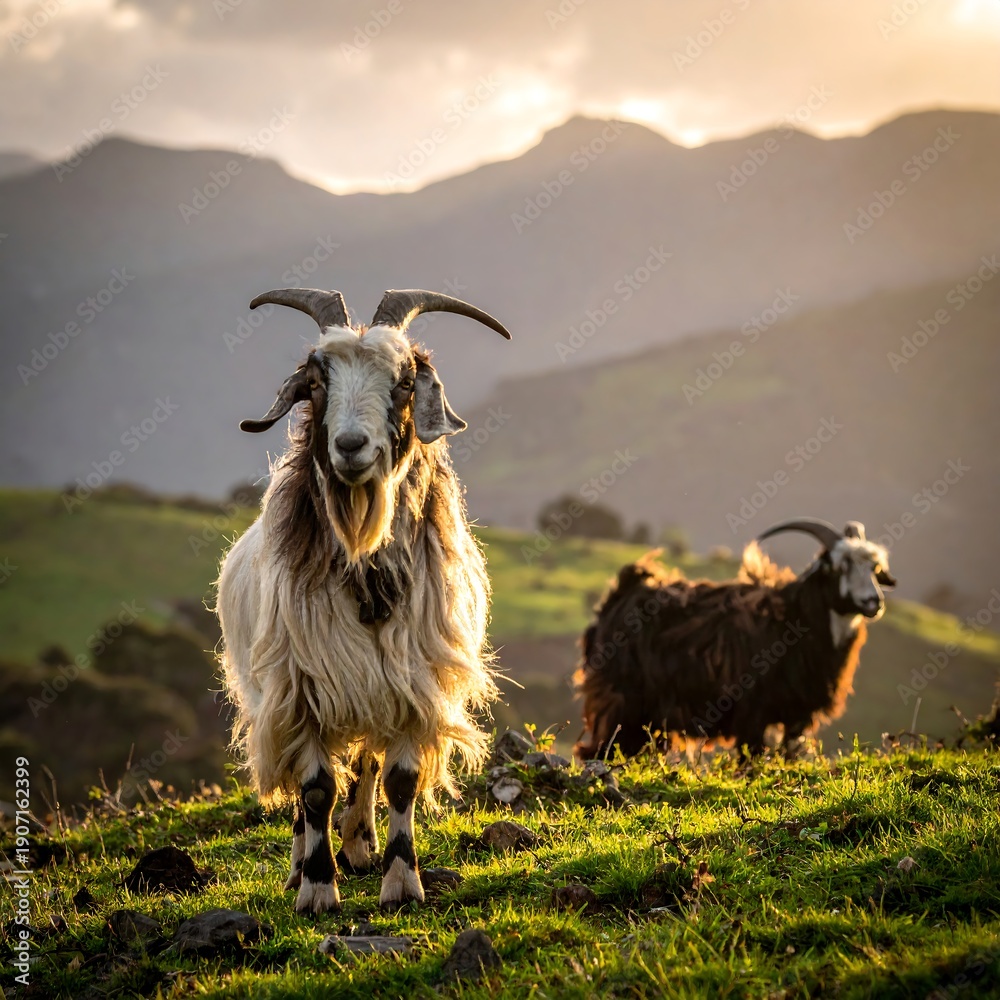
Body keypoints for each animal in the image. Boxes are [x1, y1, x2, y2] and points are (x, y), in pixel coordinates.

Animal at [216, 287, 510, 914]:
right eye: (315, 382)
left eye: (403, 382)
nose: (351, 446)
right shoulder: (298, 688)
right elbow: (314, 789)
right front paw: (317, 888)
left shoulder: (410, 682)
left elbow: (395, 780)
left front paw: (401, 883)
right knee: (309, 790)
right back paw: (301, 864)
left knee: (366, 765)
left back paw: (359, 842)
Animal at [573, 518, 896, 761]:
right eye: (840, 567)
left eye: (875, 569)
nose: (873, 602)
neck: (796, 618)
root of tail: (619, 596)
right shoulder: (753, 711)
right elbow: (750, 758)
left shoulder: (797, 715)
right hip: (620, 701)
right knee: (601, 750)